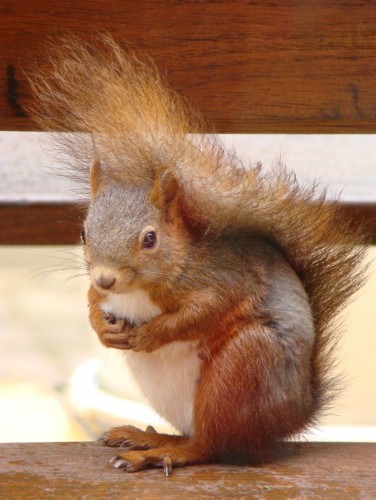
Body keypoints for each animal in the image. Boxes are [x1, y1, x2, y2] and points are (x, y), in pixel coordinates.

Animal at [30, 35, 368, 472]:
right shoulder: (103, 289)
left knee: (210, 445)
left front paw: (153, 333)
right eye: (84, 232)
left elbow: (204, 311)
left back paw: (161, 453)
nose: (106, 277)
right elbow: (92, 299)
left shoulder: (222, 279)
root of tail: (291, 418)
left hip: (241, 368)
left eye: (150, 239)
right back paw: (146, 436)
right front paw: (102, 326)